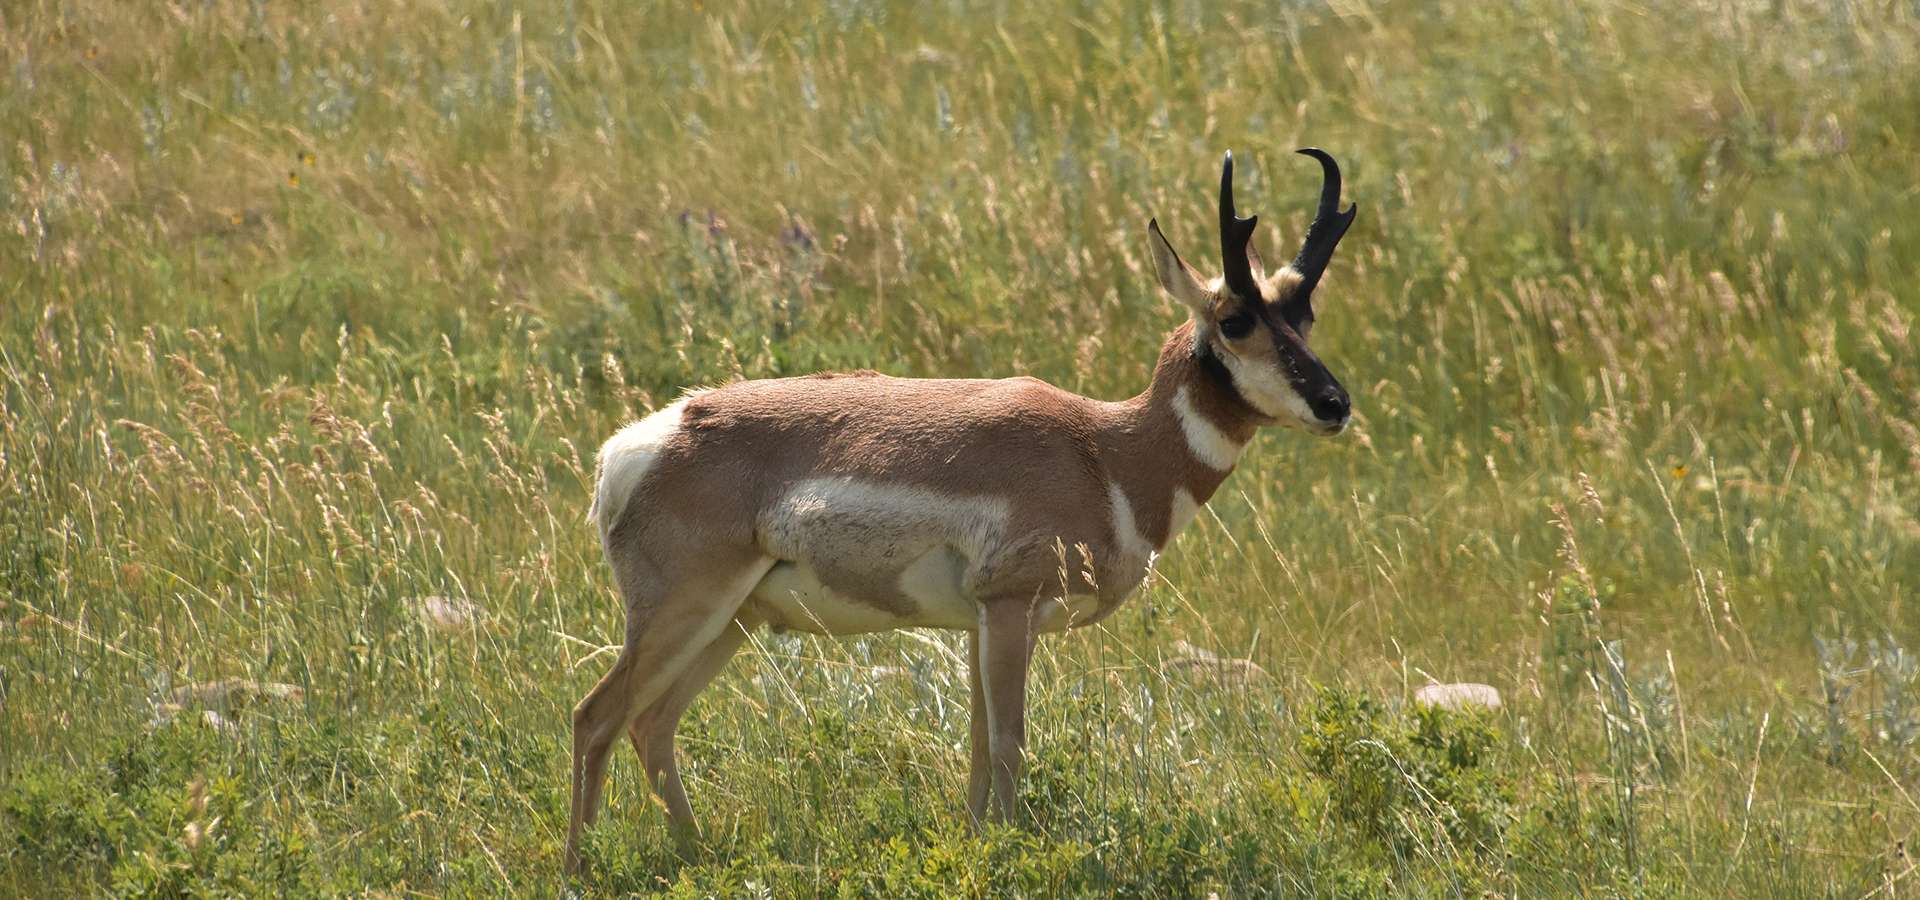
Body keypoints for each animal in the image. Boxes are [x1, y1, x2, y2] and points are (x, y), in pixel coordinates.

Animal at [560, 148, 1359, 871]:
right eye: (1235, 319)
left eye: (1306, 312)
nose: (1335, 404)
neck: (1105, 450)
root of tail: (644, 440)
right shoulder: (1007, 609)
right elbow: (1007, 744)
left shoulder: (979, 624)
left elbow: (978, 750)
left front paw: (978, 847)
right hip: (685, 610)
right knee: (596, 717)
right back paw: (581, 868)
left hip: (734, 621)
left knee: (651, 723)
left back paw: (699, 857)